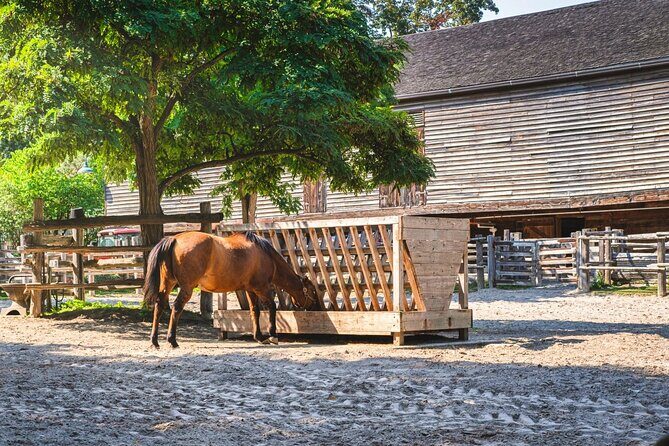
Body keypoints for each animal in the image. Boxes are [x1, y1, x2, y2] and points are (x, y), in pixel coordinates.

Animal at [143, 231, 320, 348]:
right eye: (312, 290)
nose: (315, 306)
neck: (265, 255)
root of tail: (174, 238)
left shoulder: (250, 290)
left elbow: (254, 311)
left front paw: (259, 336)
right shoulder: (261, 288)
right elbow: (271, 307)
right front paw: (272, 335)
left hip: (168, 284)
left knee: (159, 306)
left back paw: (154, 340)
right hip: (187, 288)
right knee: (176, 308)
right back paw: (172, 340)